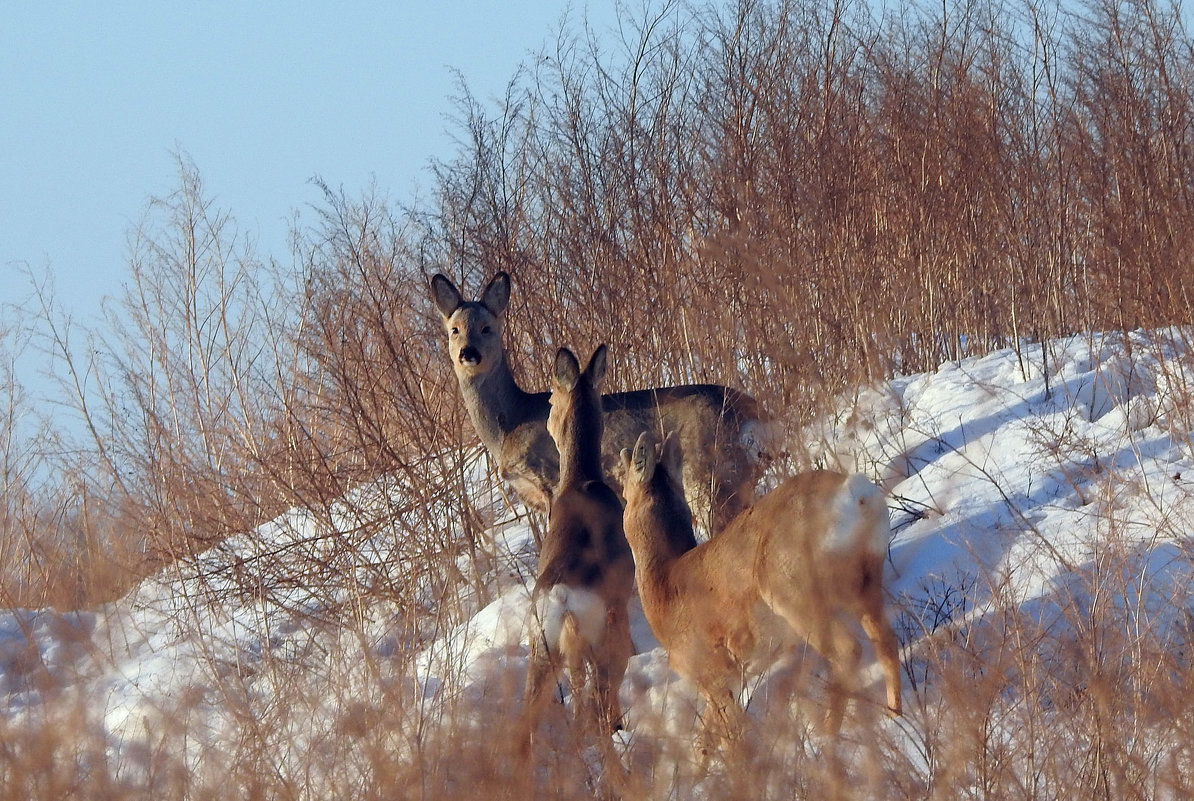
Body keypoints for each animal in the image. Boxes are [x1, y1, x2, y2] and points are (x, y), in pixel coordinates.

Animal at [429, 270, 773, 539]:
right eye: (454, 330)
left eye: (487, 328)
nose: (469, 353)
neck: (510, 423)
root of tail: (758, 417)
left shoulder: (550, 478)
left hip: (711, 478)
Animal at [520, 346, 639, 759]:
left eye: (550, 401)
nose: (548, 422)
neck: (580, 480)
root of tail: (563, 601)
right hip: (603, 635)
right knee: (602, 708)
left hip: (542, 652)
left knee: (527, 729)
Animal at [620, 429, 897, 754]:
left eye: (623, 489)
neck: (664, 585)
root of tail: (854, 494)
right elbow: (704, 743)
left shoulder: (710, 673)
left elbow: (731, 738)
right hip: (866, 581)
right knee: (886, 641)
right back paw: (895, 715)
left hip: (794, 594)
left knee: (848, 650)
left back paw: (827, 737)